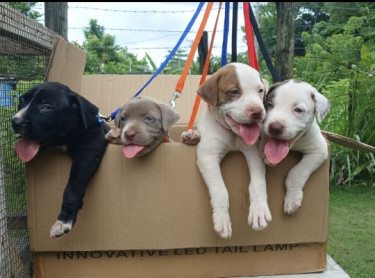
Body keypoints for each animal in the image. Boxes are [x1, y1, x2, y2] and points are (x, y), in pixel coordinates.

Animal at [10, 80, 110, 237]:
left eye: (46, 107)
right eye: (21, 101)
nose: (14, 122)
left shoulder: (91, 147)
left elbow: (73, 186)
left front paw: (64, 221)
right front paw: (16, 143)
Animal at [181, 63, 270, 239]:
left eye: (260, 90)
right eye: (234, 91)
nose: (258, 112)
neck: (232, 133)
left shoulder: (253, 153)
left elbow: (257, 183)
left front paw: (259, 212)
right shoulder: (208, 157)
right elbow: (220, 190)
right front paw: (222, 221)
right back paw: (190, 135)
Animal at [260, 79, 330, 214]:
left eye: (298, 109)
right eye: (269, 104)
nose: (274, 128)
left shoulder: (319, 150)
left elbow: (297, 172)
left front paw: (292, 199)